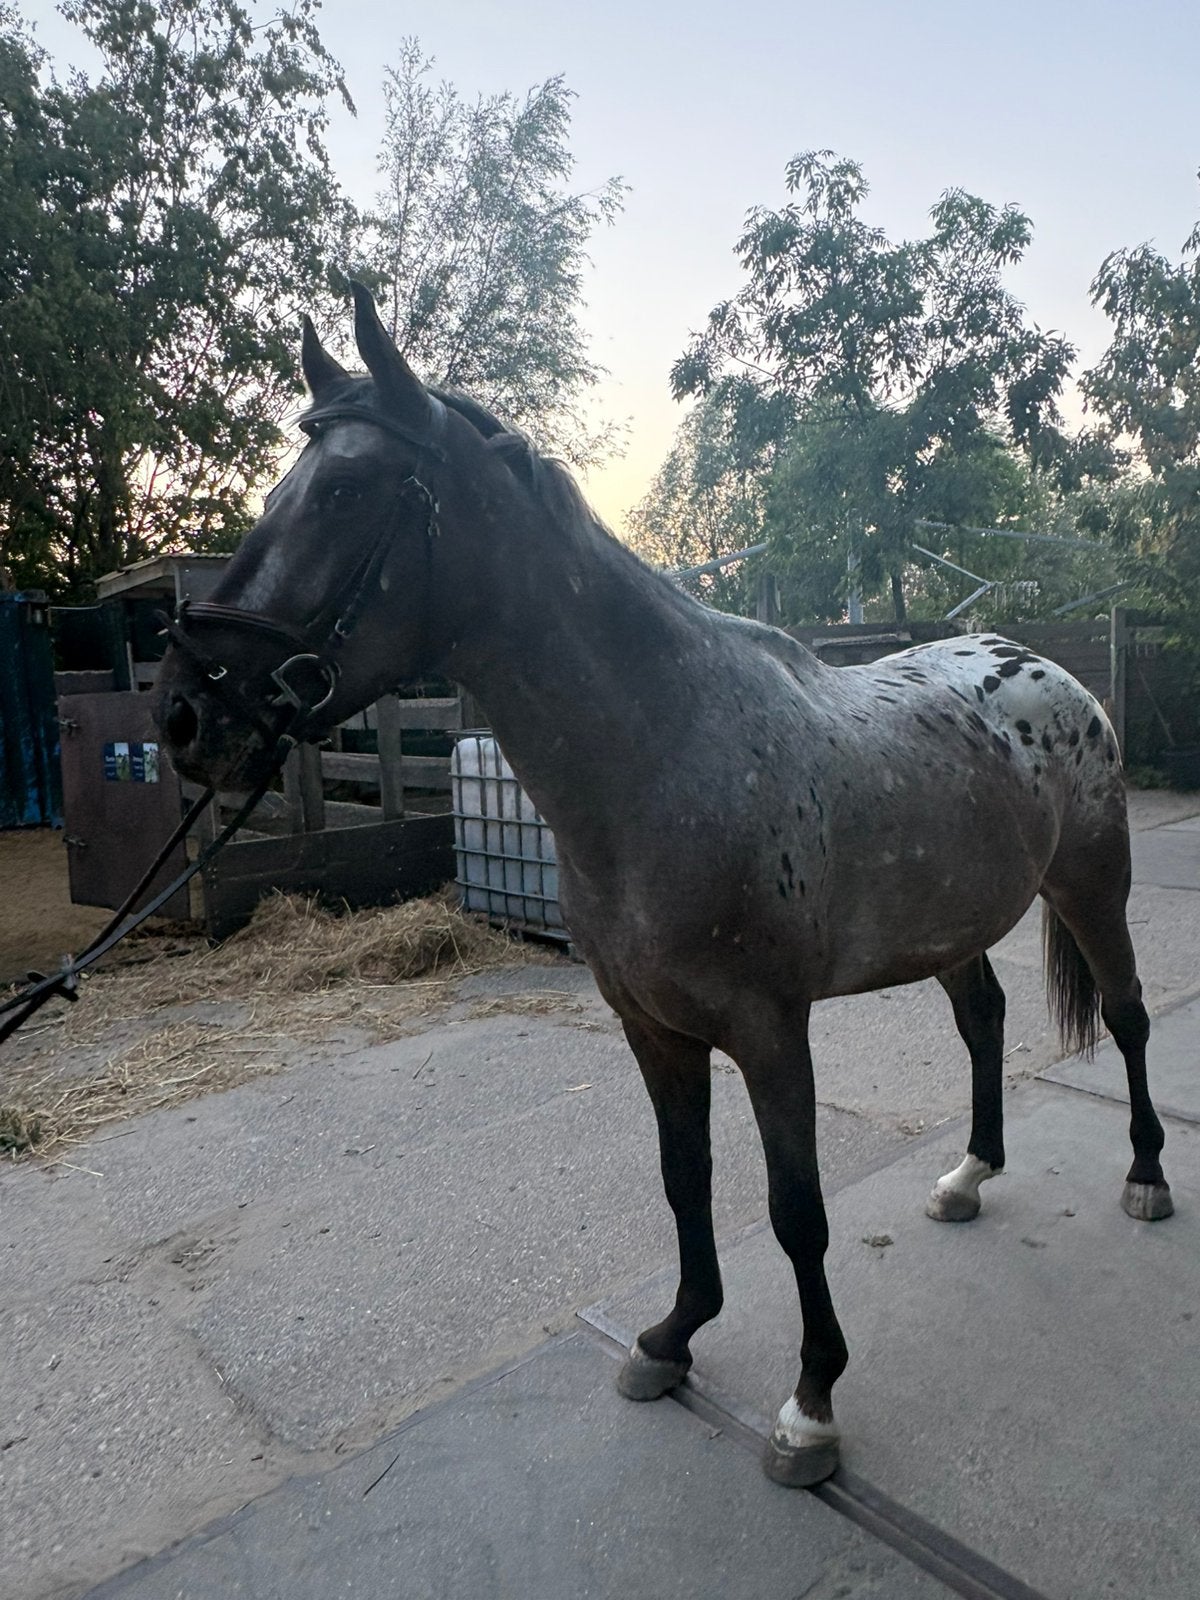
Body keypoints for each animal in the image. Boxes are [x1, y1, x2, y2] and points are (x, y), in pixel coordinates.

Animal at [155, 284, 1172, 1488]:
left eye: (345, 492)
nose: (186, 712)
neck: (669, 750)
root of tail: (1046, 670)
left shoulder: (771, 1030)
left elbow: (795, 1210)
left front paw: (811, 1406)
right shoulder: (652, 1028)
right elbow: (685, 1179)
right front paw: (672, 1338)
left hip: (1093, 884)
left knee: (1128, 1015)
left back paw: (1147, 1177)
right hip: (954, 922)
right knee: (984, 1019)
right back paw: (969, 1177)